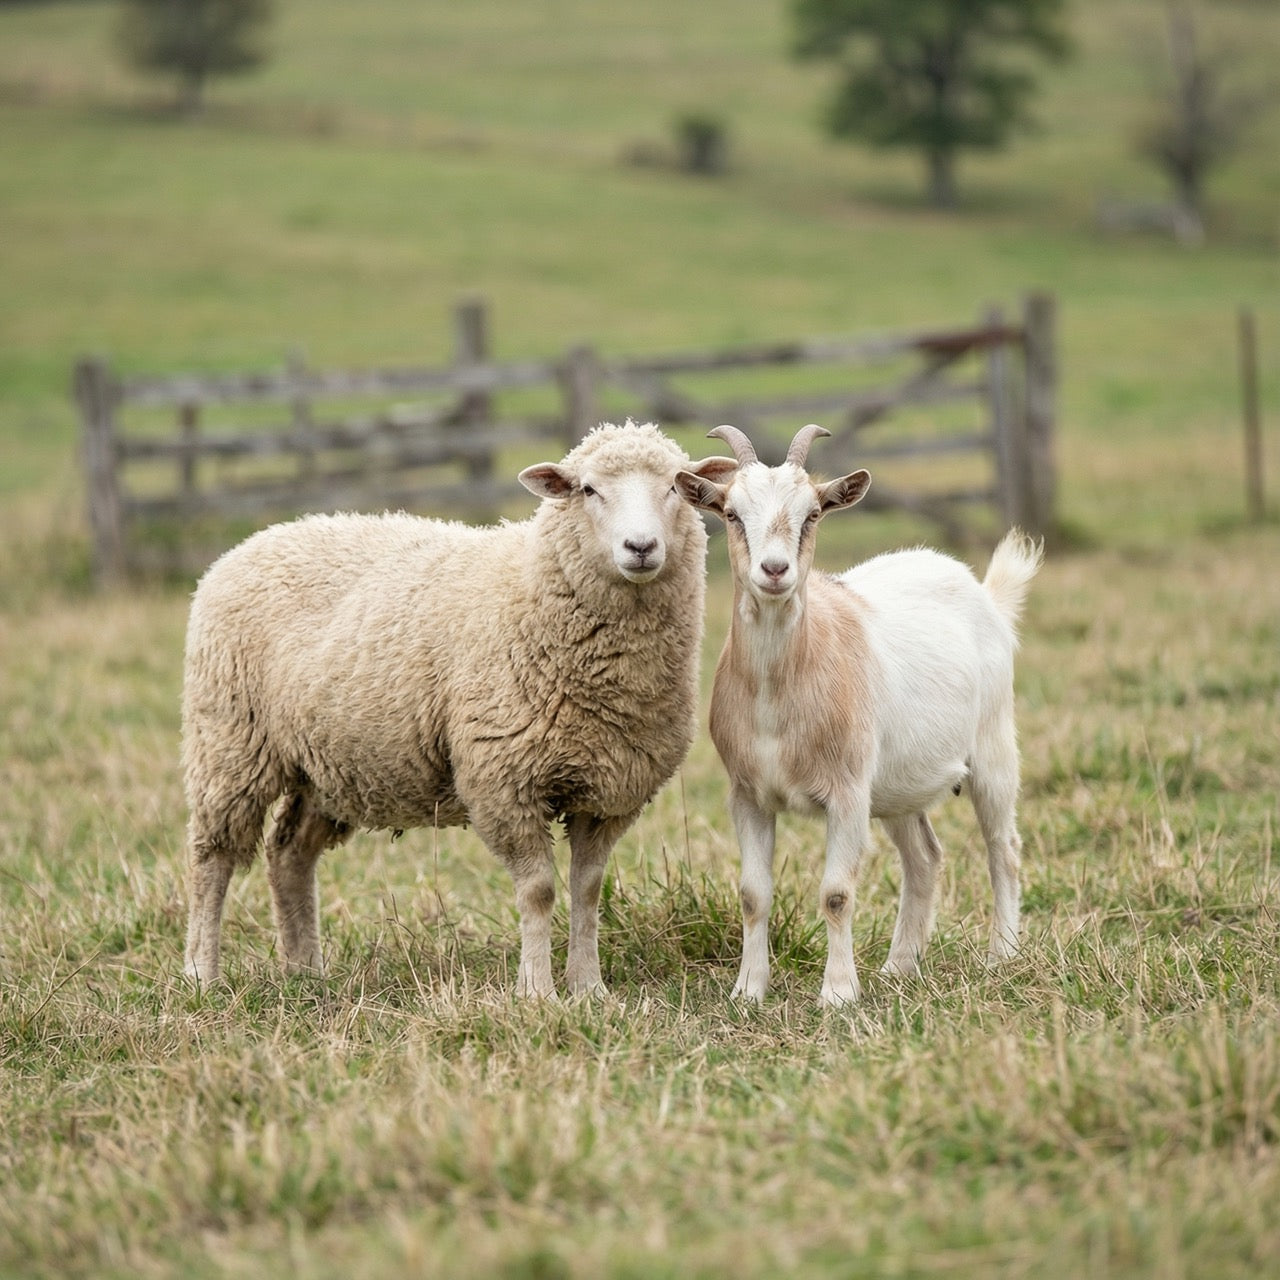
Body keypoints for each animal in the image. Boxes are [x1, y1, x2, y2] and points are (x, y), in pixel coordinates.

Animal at [181, 420, 738, 998]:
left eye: (675, 486)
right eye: (588, 490)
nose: (641, 547)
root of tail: (255, 541)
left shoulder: (608, 791)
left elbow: (587, 889)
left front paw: (589, 989)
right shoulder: (503, 780)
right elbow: (539, 890)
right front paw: (537, 993)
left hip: (329, 767)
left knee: (289, 853)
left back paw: (306, 970)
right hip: (230, 743)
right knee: (211, 857)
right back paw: (202, 973)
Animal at [675, 423, 1043, 1006]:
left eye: (813, 514)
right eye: (731, 513)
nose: (774, 570)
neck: (780, 694)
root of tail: (985, 593)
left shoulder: (846, 791)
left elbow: (836, 893)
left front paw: (838, 994)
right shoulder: (747, 794)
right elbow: (753, 894)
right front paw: (748, 991)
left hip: (993, 747)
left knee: (1002, 847)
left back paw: (1002, 955)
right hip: (896, 786)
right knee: (925, 857)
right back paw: (899, 966)